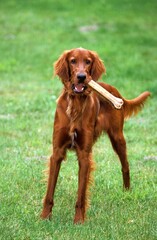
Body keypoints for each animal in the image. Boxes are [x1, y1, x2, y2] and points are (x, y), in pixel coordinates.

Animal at [40, 47, 150, 224]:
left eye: (88, 61)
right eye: (72, 61)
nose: (81, 77)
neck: (76, 106)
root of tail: (112, 89)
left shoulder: (85, 155)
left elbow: (81, 194)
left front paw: (79, 220)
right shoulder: (56, 152)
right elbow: (50, 191)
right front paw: (44, 217)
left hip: (118, 138)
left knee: (125, 165)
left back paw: (126, 191)